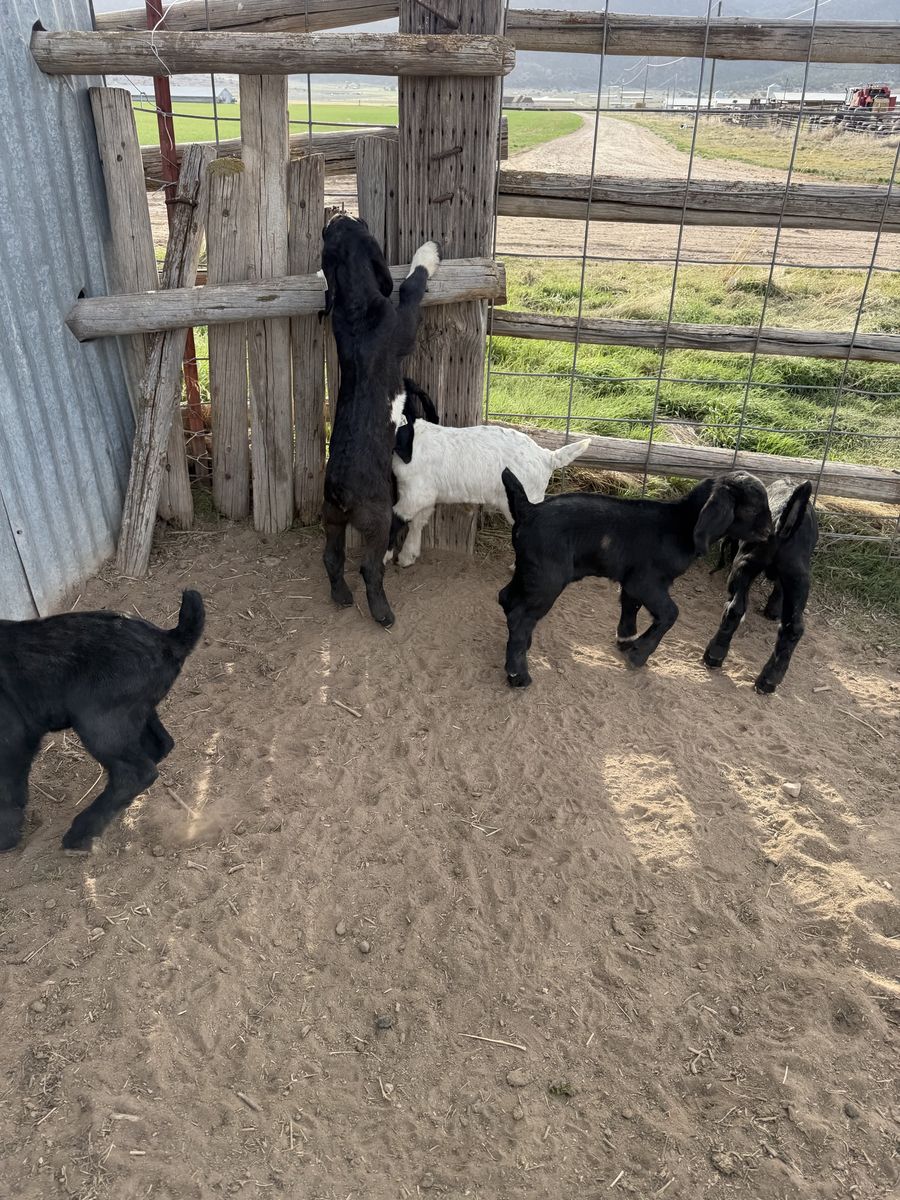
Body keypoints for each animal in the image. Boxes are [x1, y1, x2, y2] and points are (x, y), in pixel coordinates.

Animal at [0, 590, 205, 852]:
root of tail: (166, 638)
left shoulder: (12, 737)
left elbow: (7, 788)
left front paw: (6, 836)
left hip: (97, 721)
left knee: (136, 772)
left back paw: (80, 833)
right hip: (130, 714)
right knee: (160, 746)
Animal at [320, 213, 439, 627]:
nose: (338, 213)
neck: (356, 303)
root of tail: (340, 489)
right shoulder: (404, 320)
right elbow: (412, 286)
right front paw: (428, 254)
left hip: (332, 519)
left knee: (332, 557)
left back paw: (341, 596)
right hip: (377, 518)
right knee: (370, 568)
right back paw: (383, 612)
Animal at [386, 424, 591, 568]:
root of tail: (547, 456)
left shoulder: (416, 493)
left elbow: (396, 517)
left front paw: (387, 556)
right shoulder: (426, 494)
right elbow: (416, 522)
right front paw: (407, 556)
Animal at [498, 470, 772, 687]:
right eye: (752, 508)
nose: (769, 531)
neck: (681, 524)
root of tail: (528, 510)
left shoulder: (632, 582)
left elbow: (631, 606)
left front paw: (626, 640)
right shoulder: (647, 581)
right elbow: (670, 613)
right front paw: (639, 654)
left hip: (530, 571)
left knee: (507, 599)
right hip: (548, 578)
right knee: (520, 615)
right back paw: (518, 674)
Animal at [703, 479, 817, 693]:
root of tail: (783, 525)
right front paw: (773, 610)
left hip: (745, 565)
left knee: (734, 609)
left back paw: (714, 655)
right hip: (798, 578)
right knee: (793, 628)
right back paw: (769, 680)